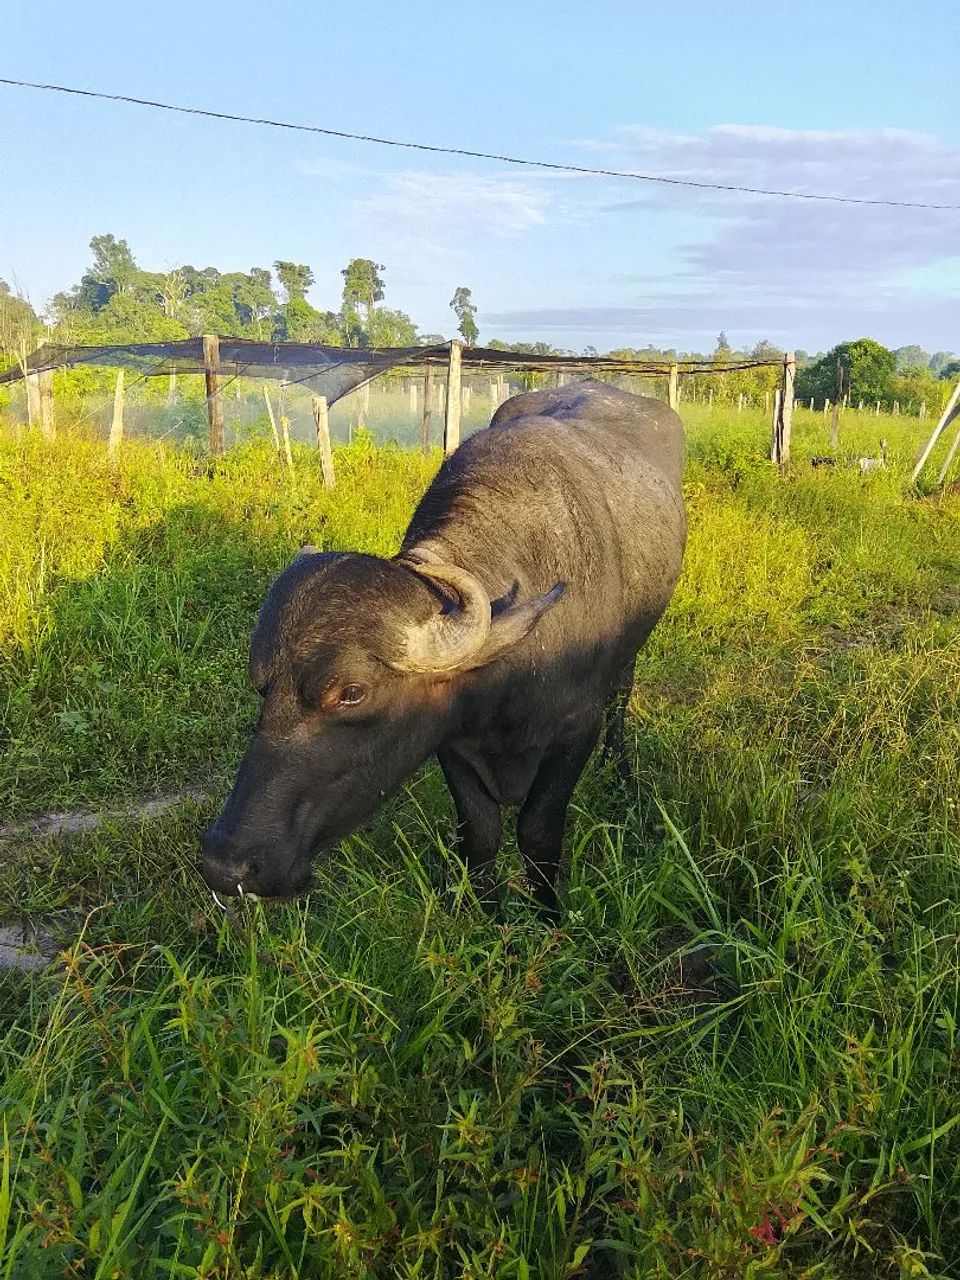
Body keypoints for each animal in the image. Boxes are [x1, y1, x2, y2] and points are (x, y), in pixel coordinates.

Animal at [201, 380, 686, 915]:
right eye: (262, 687)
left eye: (351, 693)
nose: (225, 865)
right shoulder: (452, 741)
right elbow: (480, 833)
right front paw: (487, 911)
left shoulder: (576, 730)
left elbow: (538, 833)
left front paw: (546, 914)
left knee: (622, 694)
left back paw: (621, 772)